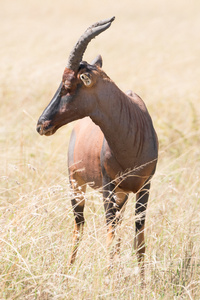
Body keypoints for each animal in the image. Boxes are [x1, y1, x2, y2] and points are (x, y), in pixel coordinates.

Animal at [36, 16, 158, 274]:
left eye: (68, 84)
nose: (41, 124)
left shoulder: (145, 187)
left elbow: (139, 242)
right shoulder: (107, 187)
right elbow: (110, 240)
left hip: (122, 195)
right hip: (76, 184)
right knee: (78, 227)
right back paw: (68, 272)